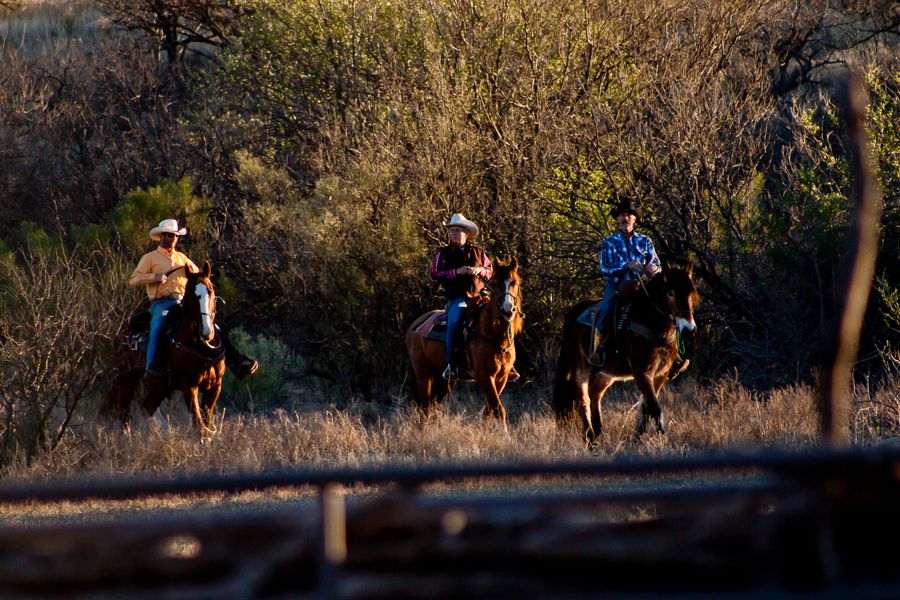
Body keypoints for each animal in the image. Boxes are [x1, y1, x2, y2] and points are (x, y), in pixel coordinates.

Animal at [97, 262, 225, 436]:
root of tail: (121, 334)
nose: (207, 331)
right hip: (127, 376)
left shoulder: (215, 386)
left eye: (211, 290)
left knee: (148, 405)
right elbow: (199, 425)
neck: (201, 346)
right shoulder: (189, 386)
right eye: (191, 294)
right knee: (125, 409)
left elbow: (207, 422)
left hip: (162, 384)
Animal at [406, 256, 524, 422]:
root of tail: (414, 325)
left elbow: (489, 411)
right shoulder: (486, 376)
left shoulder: (503, 376)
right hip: (423, 374)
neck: (494, 334)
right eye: (496, 284)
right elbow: (498, 409)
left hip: (445, 380)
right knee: (425, 408)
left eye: (515, 283)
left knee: (433, 404)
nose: (508, 310)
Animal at [552, 264, 700, 442]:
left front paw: (638, 439)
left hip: (606, 373)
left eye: (690, 294)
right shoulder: (641, 371)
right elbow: (654, 406)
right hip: (580, 367)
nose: (689, 330)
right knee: (583, 398)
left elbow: (647, 407)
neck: (650, 324)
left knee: (595, 393)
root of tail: (571, 314)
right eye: (670, 293)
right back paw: (589, 436)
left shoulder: (661, 374)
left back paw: (597, 433)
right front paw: (664, 439)